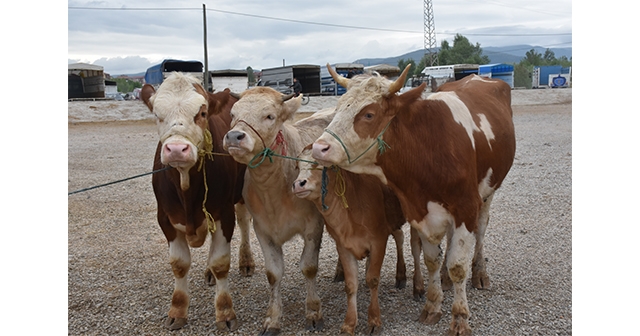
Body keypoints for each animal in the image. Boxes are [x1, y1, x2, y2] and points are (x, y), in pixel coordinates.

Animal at [141, 72, 255, 332]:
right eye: (157, 115)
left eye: (202, 113)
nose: (176, 149)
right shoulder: (165, 219)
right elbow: (179, 264)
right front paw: (177, 310)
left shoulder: (224, 213)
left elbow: (221, 262)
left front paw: (225, 312)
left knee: (244, 222)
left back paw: (246, 262)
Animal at [288, 148, 420, 336]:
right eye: (298, 166)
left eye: (319, 163)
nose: (298, 184)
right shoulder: (343, 246)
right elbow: (351, 285)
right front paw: (349, 324)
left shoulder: (378, 241)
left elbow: (373, 279)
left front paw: (374, 321)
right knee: (400, 236)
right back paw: (400, 275)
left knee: (416, 248)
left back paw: (419, 288)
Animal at [312, 64, 516, 334]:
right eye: (337, 109)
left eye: (369, 114)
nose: (318, 147)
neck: (427, 149)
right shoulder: (420, 210)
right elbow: (431, 260)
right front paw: (432, 305)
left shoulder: (465, 208)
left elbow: (458, 266)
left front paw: (460, 317)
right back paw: (445, 280)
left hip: (488, 192)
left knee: (481, 230)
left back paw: (480, 273)